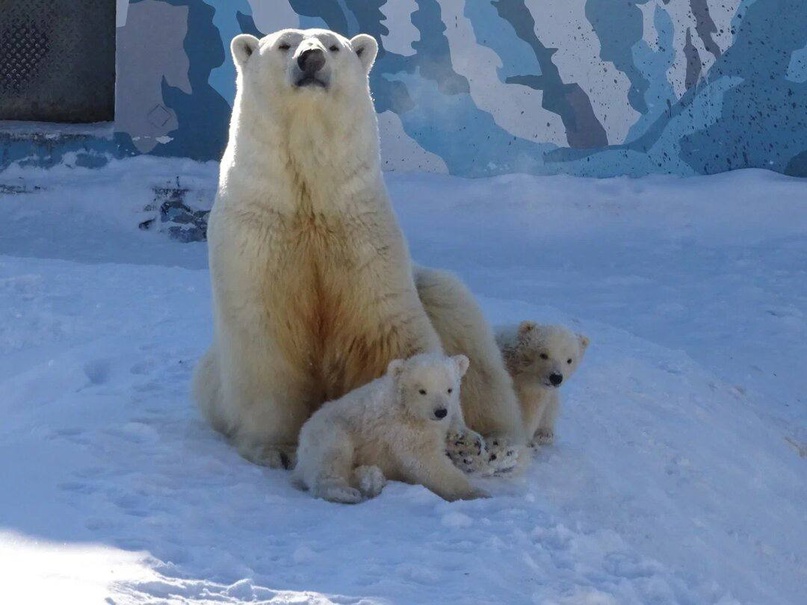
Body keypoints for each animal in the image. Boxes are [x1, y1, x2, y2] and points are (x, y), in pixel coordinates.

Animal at [294, 352, 490, 502]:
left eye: (449, 389)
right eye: (422, 391)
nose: (440, 411)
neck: (406, 406)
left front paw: (467, 442)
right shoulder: (402, 428)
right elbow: (425, 461)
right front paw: (476, 493)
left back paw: (371, 478)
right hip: (331, 430)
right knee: (331, 457)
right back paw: (345, 492)